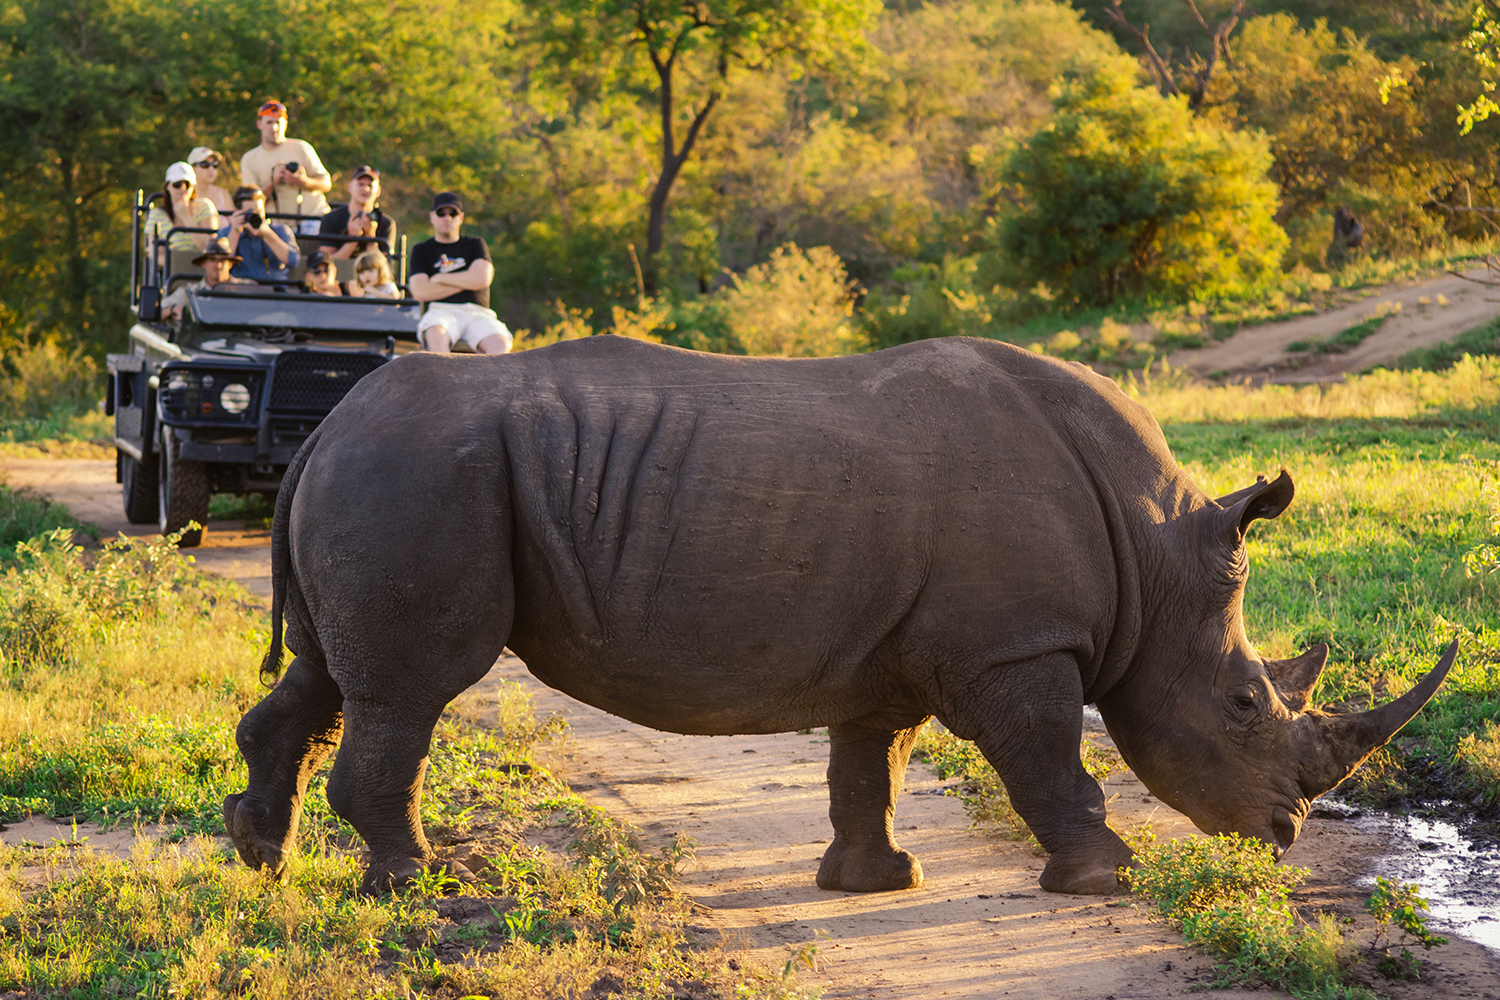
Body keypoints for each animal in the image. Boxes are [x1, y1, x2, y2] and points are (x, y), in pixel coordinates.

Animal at [224, 336, 1454, 895]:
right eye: (1245, 703)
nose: (1283, 832)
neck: (1154, 557)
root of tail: (325, 427)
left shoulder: (896, 651)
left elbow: (874, 761)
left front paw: (875, 881)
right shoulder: (1014, 646)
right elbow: (1049, 759)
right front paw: (1105, 874)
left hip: (388, 471)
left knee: (326, 679)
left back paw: (262, 859)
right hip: (421, 474)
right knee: (409, 688)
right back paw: (420, 883)